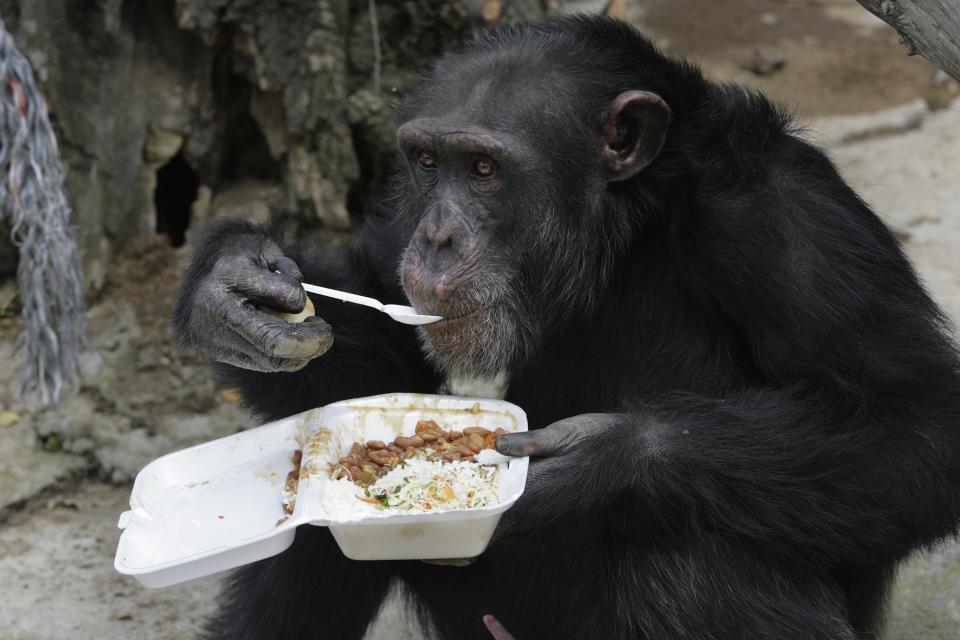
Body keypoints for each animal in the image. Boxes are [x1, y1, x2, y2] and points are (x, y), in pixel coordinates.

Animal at [174, 13, 960, 640]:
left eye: (484, 169)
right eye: (428, 162)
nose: (435, 238)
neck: (627, 226)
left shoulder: (790, 221)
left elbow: (916, 427)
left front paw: (603, 459)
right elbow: (395, 359)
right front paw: (231, 286)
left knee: (683, 552)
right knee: (309, 538)